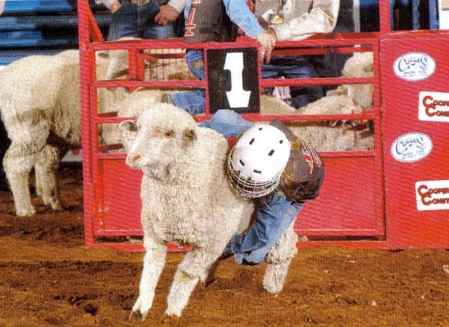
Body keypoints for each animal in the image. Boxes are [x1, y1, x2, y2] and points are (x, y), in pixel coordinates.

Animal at [119, 104, 300, 320]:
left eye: (169, 133)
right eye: (138, 128)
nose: (132, 158)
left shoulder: (209, 244)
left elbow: (185, 273)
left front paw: (172, 313)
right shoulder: (154, 234)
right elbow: (151, 267)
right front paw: (142, 307)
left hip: (279, 222)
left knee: (283, 249)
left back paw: (273, 286)